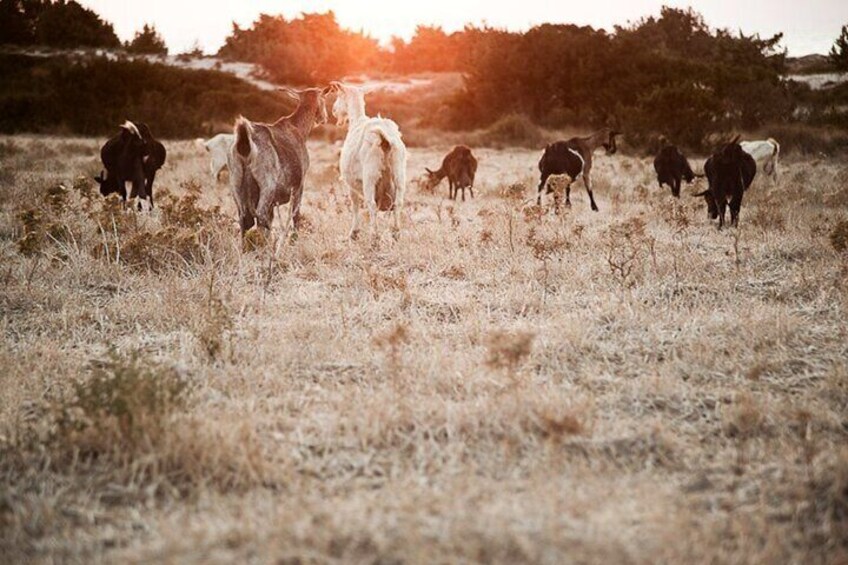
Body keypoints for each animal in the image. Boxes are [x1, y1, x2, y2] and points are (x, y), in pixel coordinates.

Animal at [332, 80, 408, 239]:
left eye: (338, 95)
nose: (333, 111)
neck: (357, 120)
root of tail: (385, 140)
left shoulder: (351, 183)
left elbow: (354, 205)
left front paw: (354, 233)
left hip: (370, 176)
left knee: (371, 205)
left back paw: (375, 236)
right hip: (399, 174)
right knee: (398, 203)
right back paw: (396, 233)